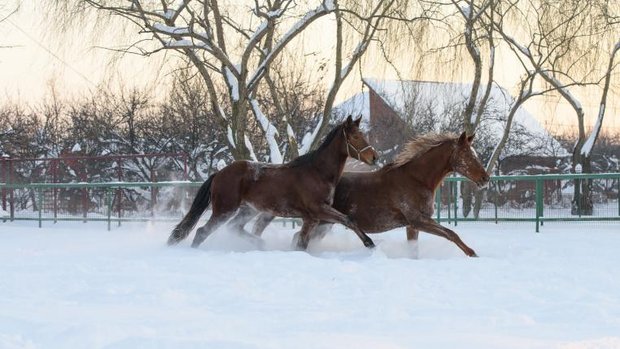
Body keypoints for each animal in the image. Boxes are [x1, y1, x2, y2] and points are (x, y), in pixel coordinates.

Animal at [167, 115, 378, 249]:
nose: (374, 157)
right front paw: (370, 244)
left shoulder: (311, 218)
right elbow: (348, 219)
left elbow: (302, 243)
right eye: (355, 136)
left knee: (234, 227)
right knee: (202, 232)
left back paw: (260, 244)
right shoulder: (317, 210)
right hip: (224, 210)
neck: (317, 172)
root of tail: (218, 173)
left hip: (248, 210)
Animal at [249, 130, 486, 256]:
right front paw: (472, 253)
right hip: (320, 220)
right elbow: (451, 233)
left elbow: (415, 247)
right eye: (468, 155)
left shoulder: (412, 225)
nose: (485, 179)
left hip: (323, 222)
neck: (416, 179)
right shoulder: (418, 220)